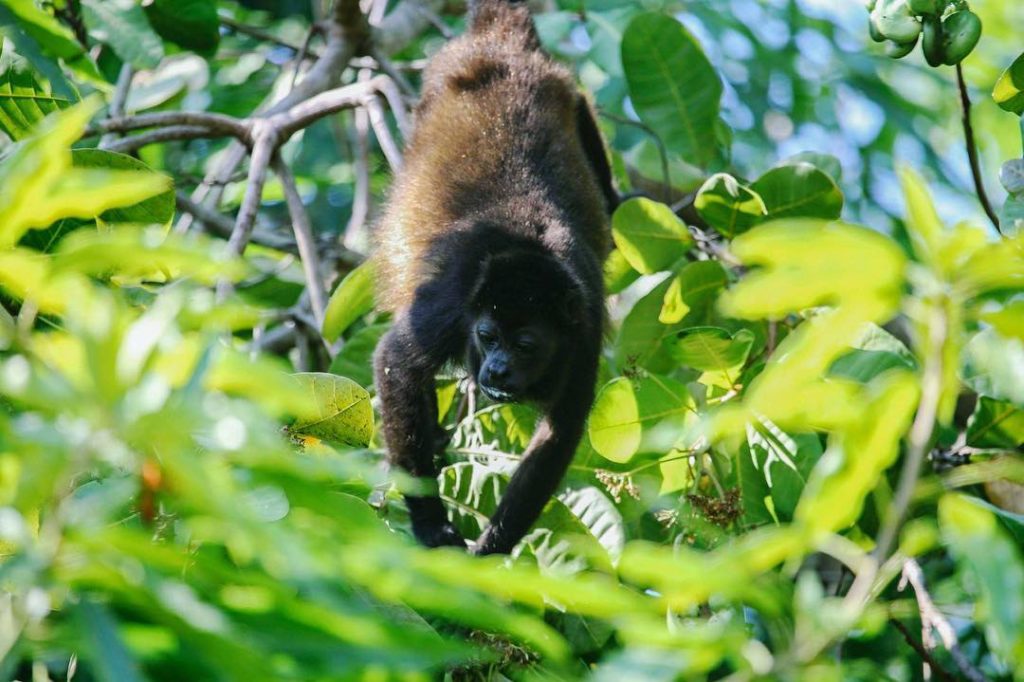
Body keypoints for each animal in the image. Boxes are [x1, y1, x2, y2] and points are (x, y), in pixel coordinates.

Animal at [376, 0, 614, 552]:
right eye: (487, 336)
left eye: (525, 344)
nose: (497, 369)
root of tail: (502, 46)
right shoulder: (454, 297)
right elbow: (398, 359)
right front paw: (432, 525)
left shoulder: (584, 326)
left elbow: (560, 432)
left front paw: (493, 547)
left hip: (563, 88)